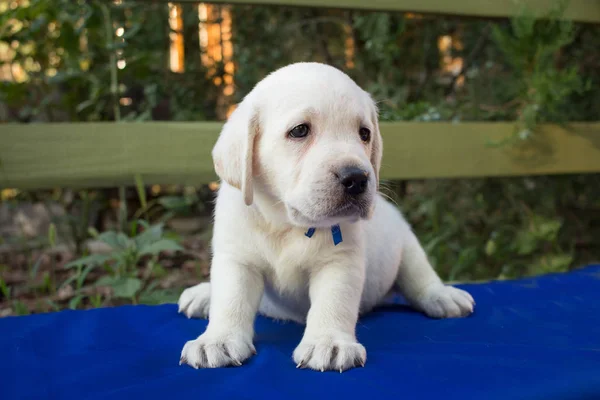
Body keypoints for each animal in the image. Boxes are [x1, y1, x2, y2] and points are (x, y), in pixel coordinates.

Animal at [177, 62, 474, 372]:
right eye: (299, 131)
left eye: (364, 134)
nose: (357, 179)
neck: (287, 223)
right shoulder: (237, 259)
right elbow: (230, 298)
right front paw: (218, 340)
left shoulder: (339, 261)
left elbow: (333, 301)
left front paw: (328, 343)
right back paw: (203, 294)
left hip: (406, 244)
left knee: (419, 277)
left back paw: (442, 295)